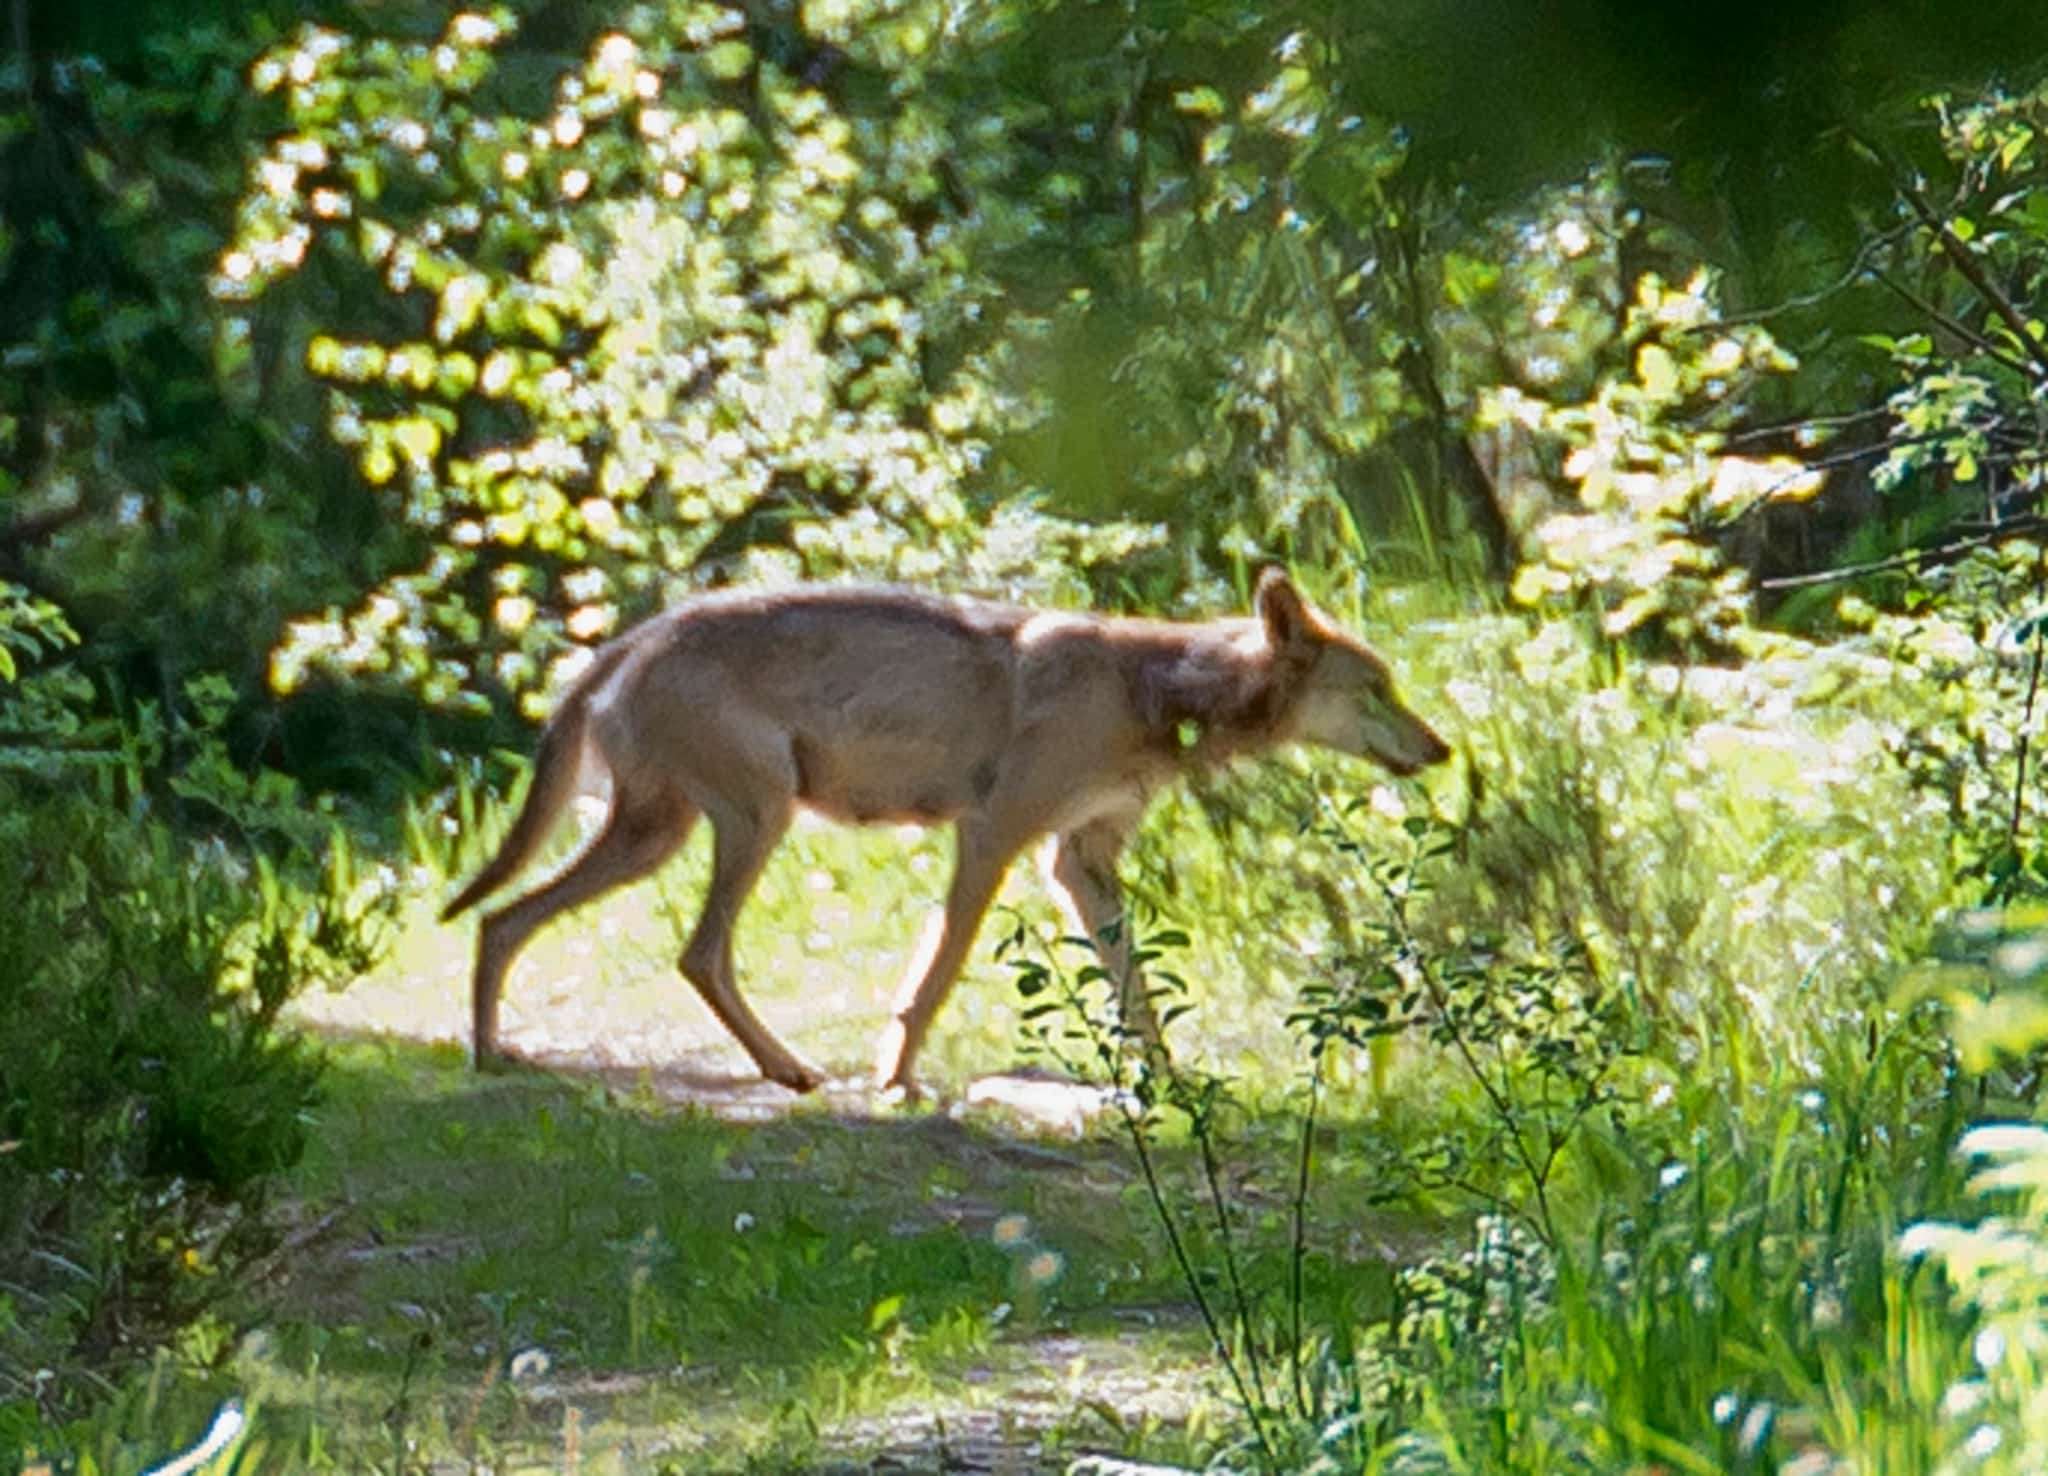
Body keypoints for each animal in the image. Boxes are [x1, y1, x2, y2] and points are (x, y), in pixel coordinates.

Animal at [440, 565, 1449, 1097]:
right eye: (1377, 689)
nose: (1442, 750)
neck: (1155, 694)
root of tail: (631, 637)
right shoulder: (994, 841)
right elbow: (933, 980)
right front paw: (897, 1084)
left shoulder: (1078, 864)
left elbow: (1139, 999)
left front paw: (1173, 1088)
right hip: (743, 824)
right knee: (691, 952)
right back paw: (790, 1071)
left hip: (661, 838)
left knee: (501, 921)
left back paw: (493, 1056)